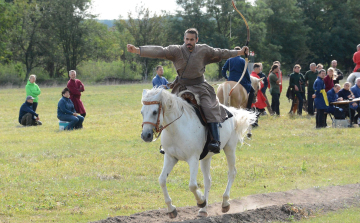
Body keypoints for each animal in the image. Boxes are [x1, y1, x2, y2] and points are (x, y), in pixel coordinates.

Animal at [141, 88, 256, 219]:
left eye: (155, 112)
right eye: (142, 112)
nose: (145, 135)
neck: (176, 129)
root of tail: (231, 111)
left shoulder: (193, 159)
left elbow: (192, 185)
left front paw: (201, 201)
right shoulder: (170, 158)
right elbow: (162, 180)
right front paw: (171, 209)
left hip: (230, 149)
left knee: (232, 173)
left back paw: (225, 202)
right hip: (206, 158)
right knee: (208, 180)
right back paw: (203, 210)